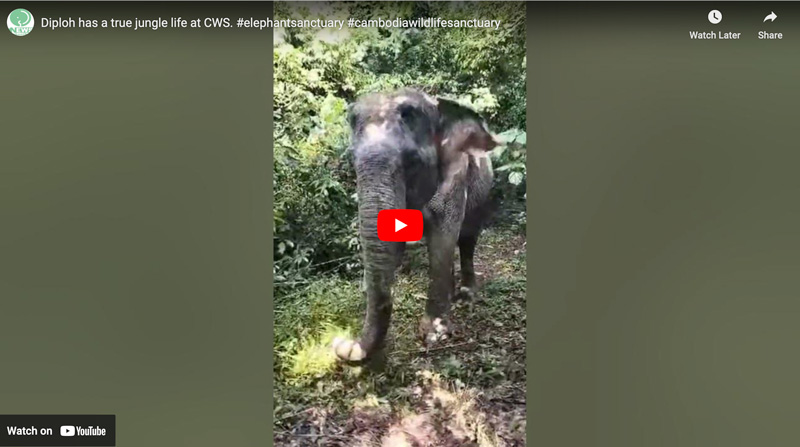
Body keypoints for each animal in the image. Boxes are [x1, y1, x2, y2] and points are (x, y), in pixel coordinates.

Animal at [332, 88, 496, 364]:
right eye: (352, 162)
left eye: (412, 162)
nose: (340, 344)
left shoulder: (456, 175)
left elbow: (443, 237)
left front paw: (434, 334)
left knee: (467, 238)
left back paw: (466, 295)